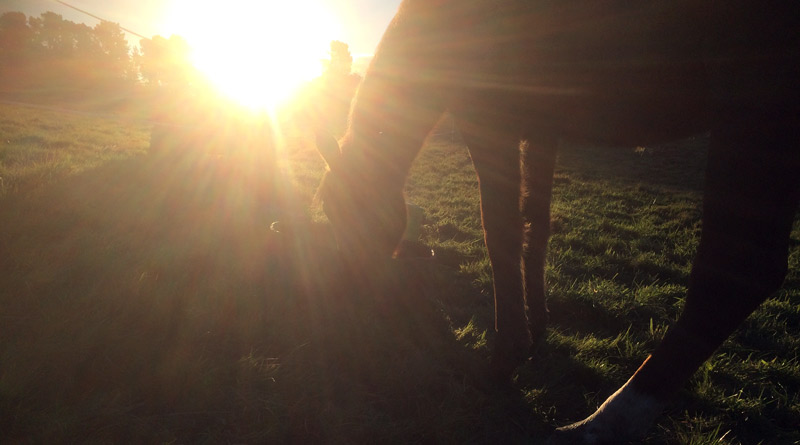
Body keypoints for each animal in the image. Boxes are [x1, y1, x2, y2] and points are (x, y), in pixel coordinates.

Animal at [314, 1, 800, 442]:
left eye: (340, 209)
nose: (349, 284)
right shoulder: (541, 128)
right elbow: (536, 222)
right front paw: (537, 322)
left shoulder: (488, 116)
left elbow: (500, 230)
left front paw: (506, 355)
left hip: (756, 108)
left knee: (734, 278)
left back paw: (598, 426)